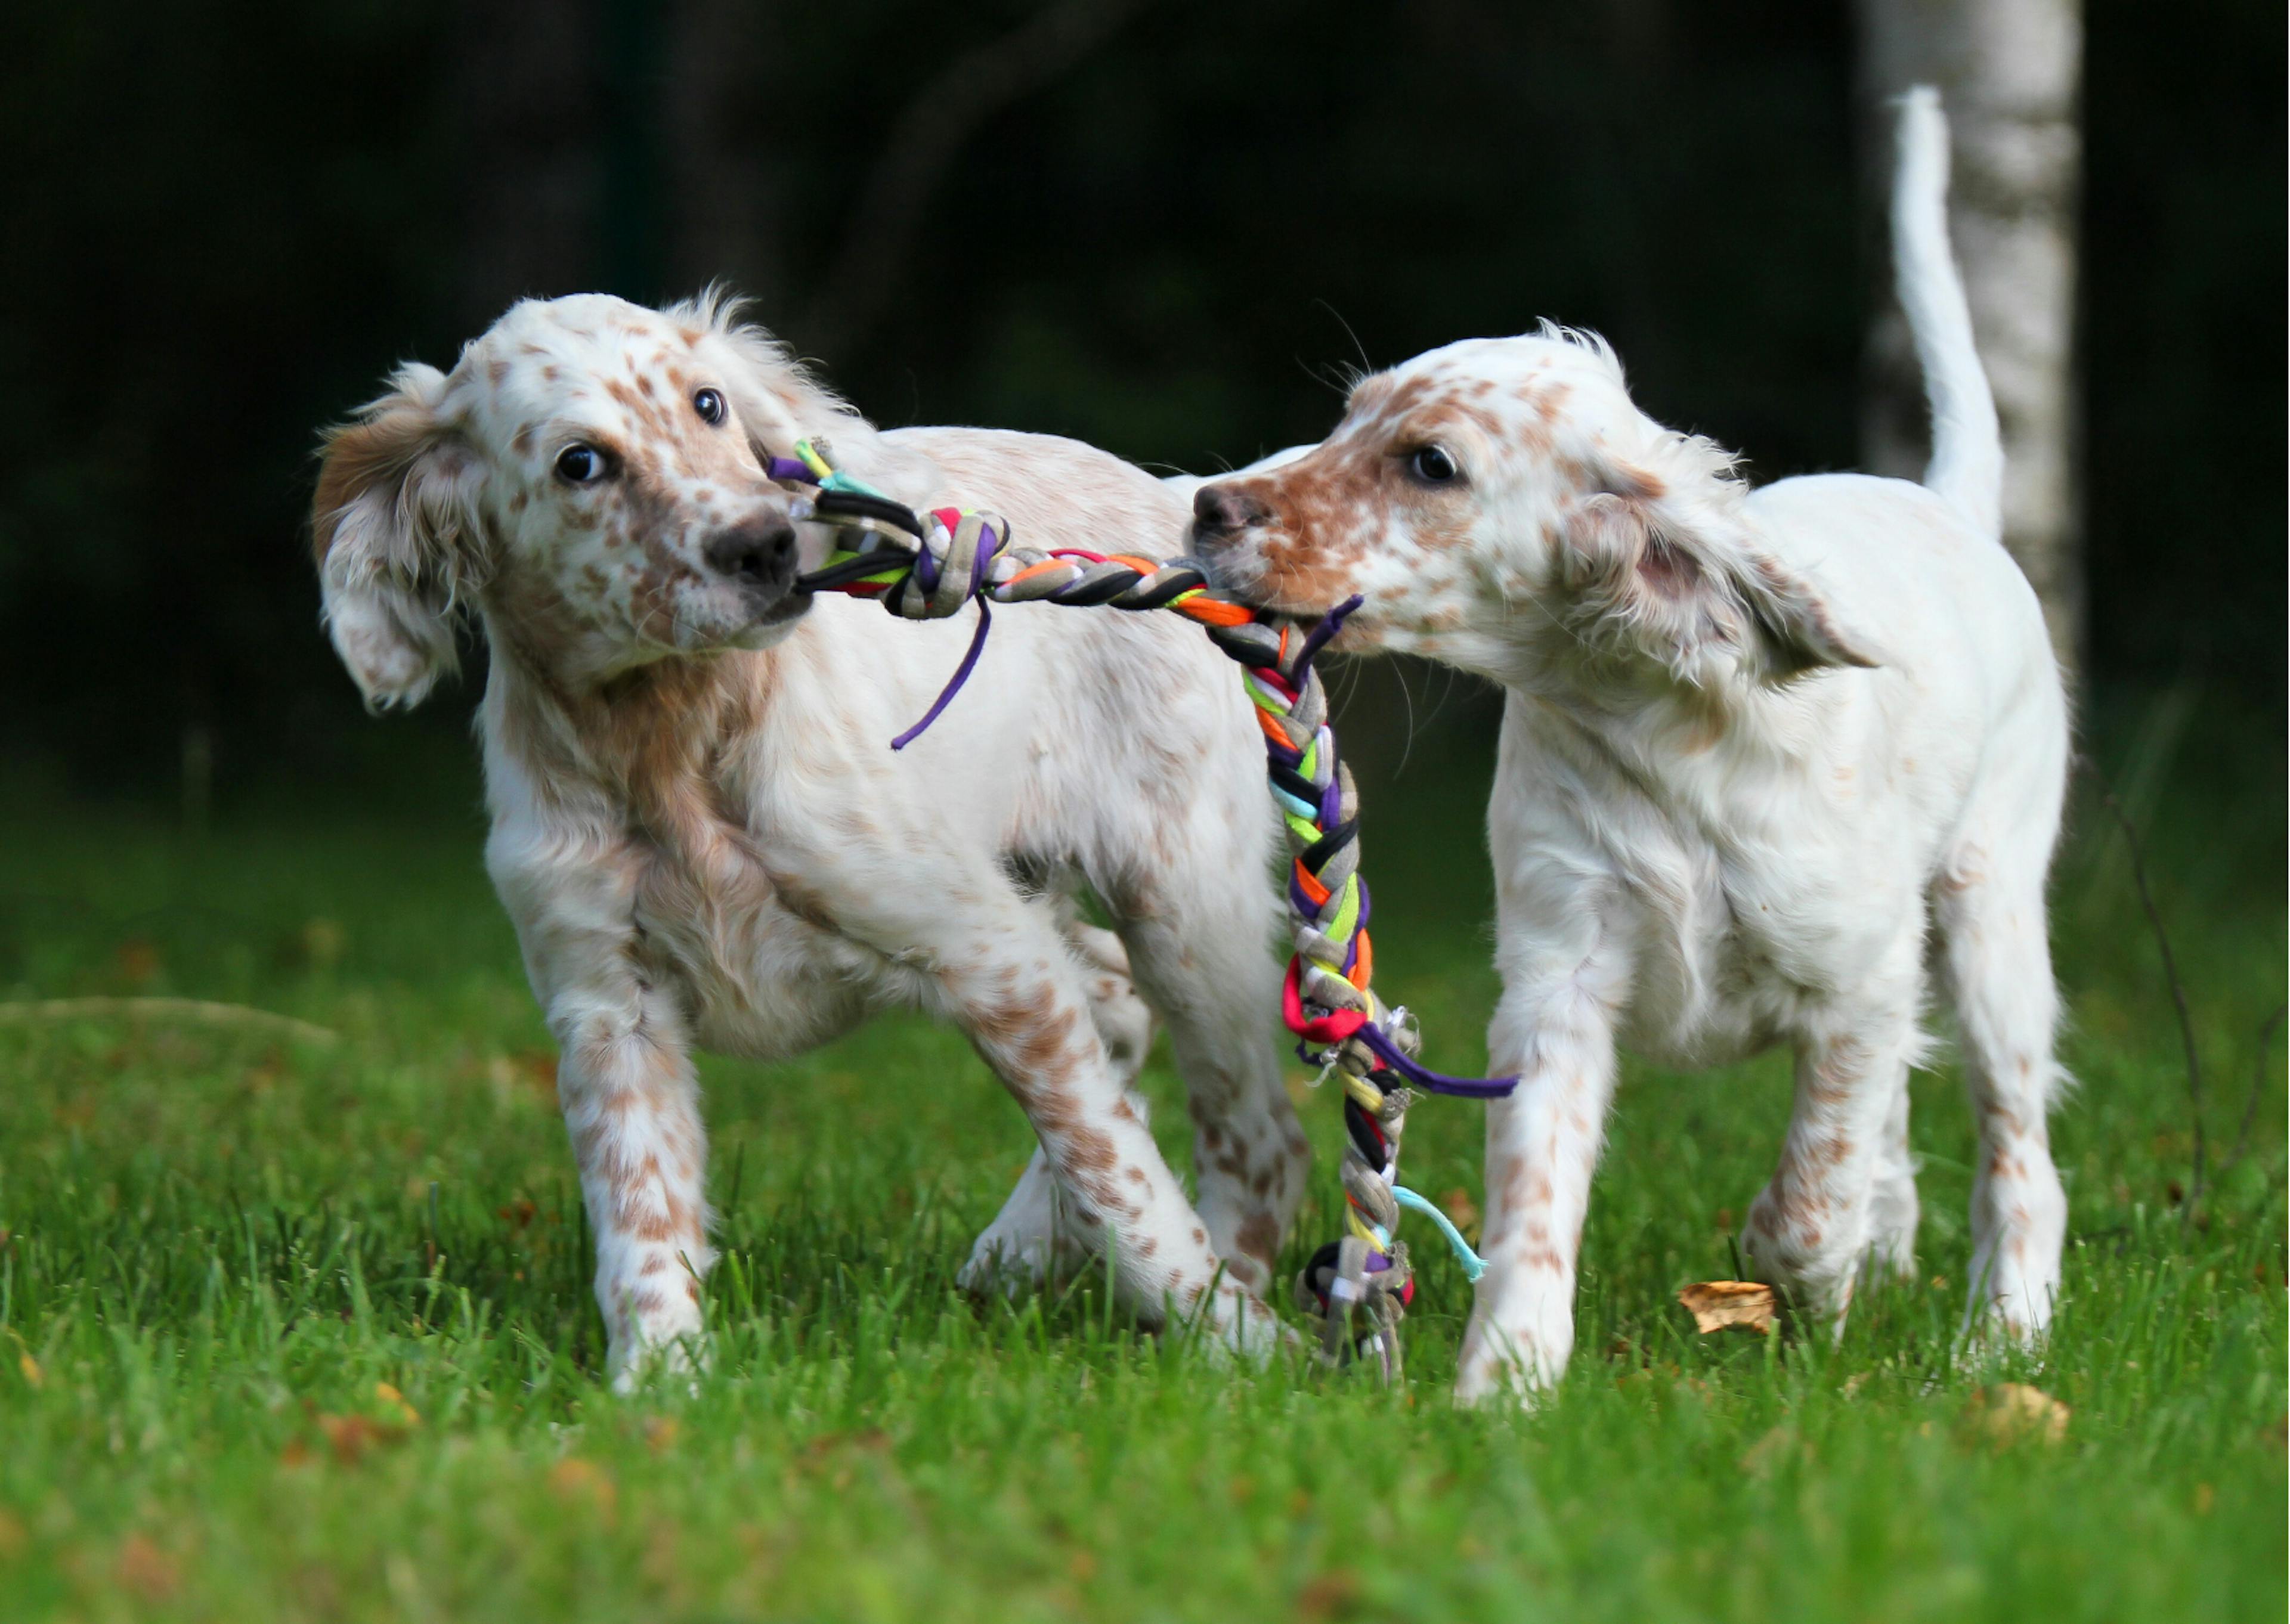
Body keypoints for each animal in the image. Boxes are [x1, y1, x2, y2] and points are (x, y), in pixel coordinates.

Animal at [311, 290, 1310, 1383]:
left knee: (1258, 1133)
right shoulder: (609, 1003)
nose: (766, 546)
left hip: (1185, 906)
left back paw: (1223, 1307)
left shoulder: (987, 955)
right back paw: (1016, 1255)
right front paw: (660, 1379)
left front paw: (1236, 1334)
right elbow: (639, 1214)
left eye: (708, 403)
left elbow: (1113, 1169)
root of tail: (1172, 501)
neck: (671, 738)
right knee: (1123, 1013)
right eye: (581, 463)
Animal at [1190, 91, 2070, 1402]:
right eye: (1345, 418)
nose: (1208, 506)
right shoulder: (1557, 977)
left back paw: (2002, 1335)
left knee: (2021, 1152)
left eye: (1430, 464)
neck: (1661, 735)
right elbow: (1533, 1197)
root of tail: (1948, 507)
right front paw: (1504, 1382)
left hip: (1992, 911)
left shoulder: (1856, 976)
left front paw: (1806, 1284)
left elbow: (1809, 1195)